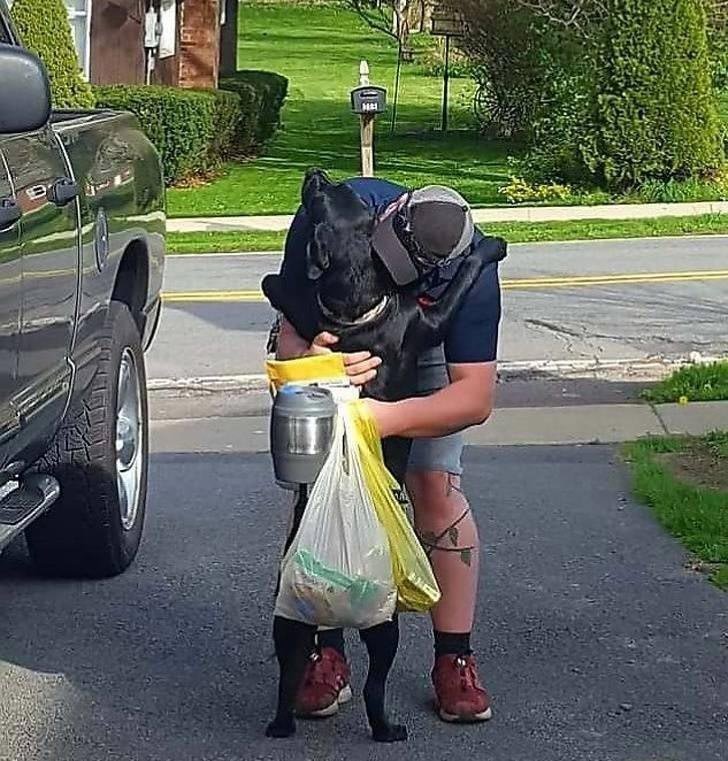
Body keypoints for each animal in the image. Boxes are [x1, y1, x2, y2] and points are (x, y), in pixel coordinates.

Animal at [262, 168, 506, 744]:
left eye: (333, 195)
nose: (314, 174)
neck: (355, 306)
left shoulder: (307, 304)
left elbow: (280, 288)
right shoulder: (430, 322)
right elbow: (459, 282)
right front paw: (489, 249)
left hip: (286, 627)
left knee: (287, 677)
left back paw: (284, 722)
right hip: (386, 631)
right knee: (375, 685)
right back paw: (387, 728)